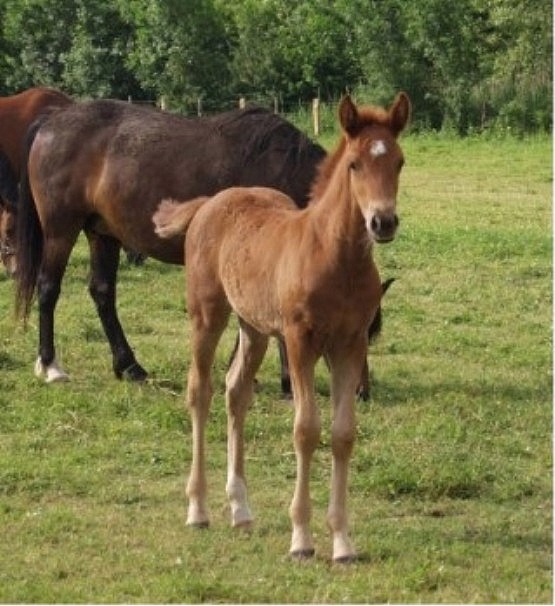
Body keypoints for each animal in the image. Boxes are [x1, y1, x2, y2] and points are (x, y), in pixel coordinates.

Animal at [15, 100, 328, 384]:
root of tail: (51, 121)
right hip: (60, 230)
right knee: (48, 289)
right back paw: (50, 365)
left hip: (102, 233)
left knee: (102, 292)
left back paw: (129, 366)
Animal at [153, 92, 412, 564]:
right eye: (354, 165)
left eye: (399, 161)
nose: (383, 222)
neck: (336, 259)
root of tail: (209, 203)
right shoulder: (299, 342)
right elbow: (306, 430)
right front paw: (302, 539)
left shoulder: (349, 345)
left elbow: (343, 434)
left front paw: (342, 541)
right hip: (207, 314)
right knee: (199, 391)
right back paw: (198, 509)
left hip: (253, 327)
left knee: (236, 391)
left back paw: (240, 509)